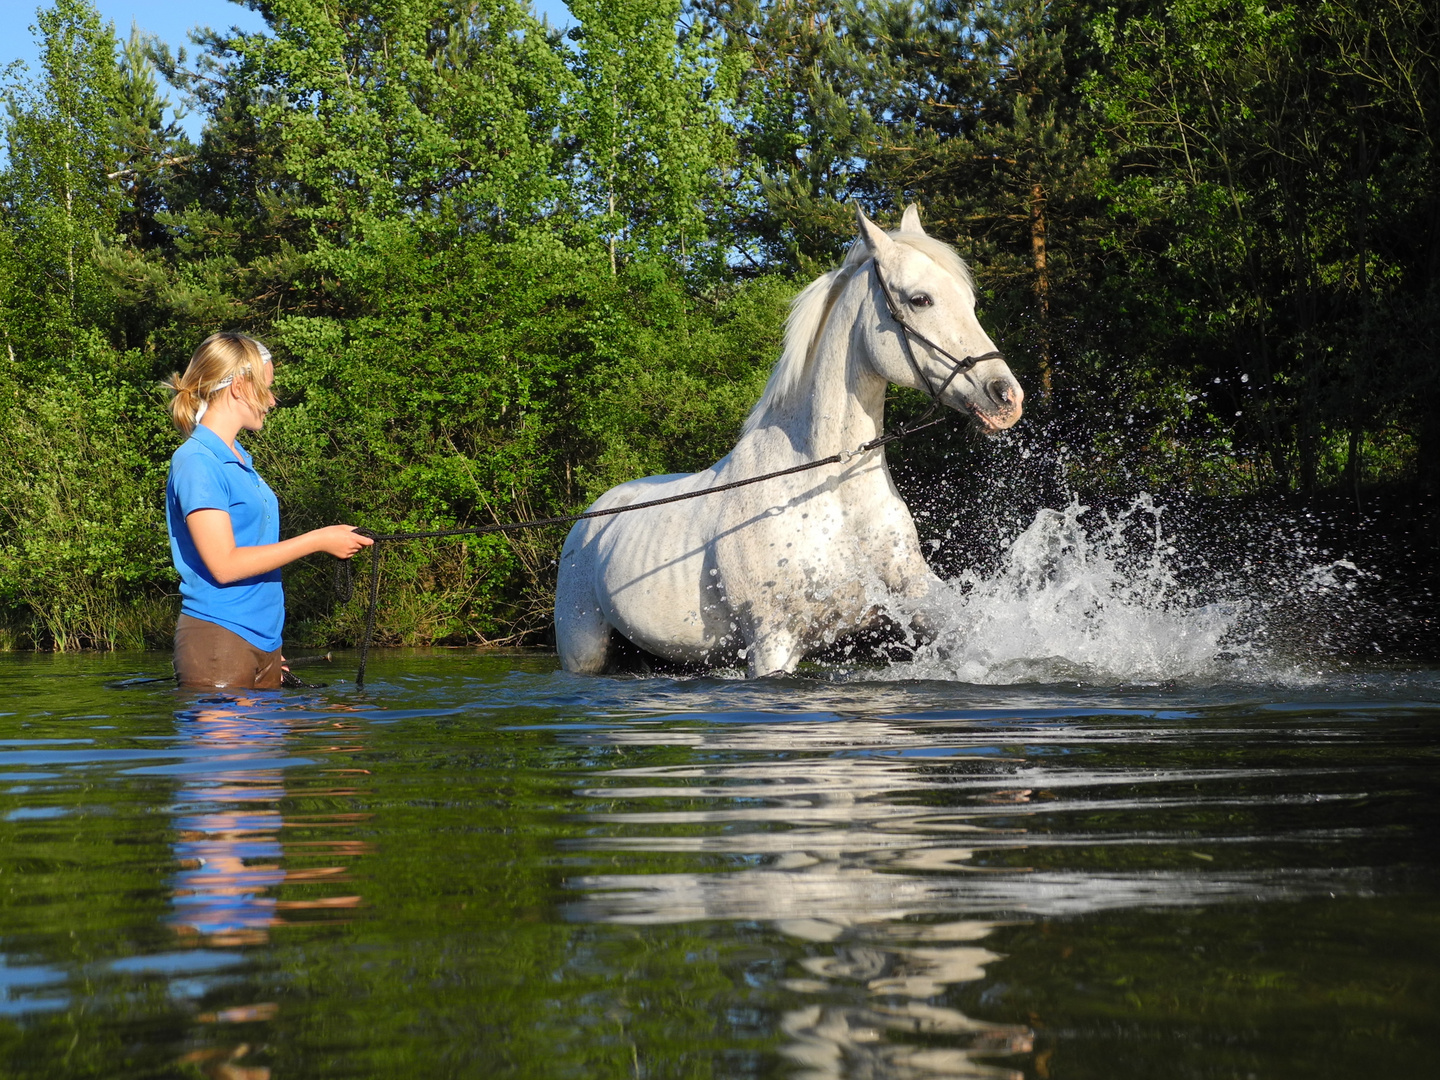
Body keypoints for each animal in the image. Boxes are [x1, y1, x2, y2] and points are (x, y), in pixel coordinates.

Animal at [552, 204, 1025, 676]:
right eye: (920, 299)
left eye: (970, 301)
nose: (1006, 396)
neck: (828, 490)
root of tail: (591, 517)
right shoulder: (771, 641)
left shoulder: (919, 599)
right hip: (583, 652)